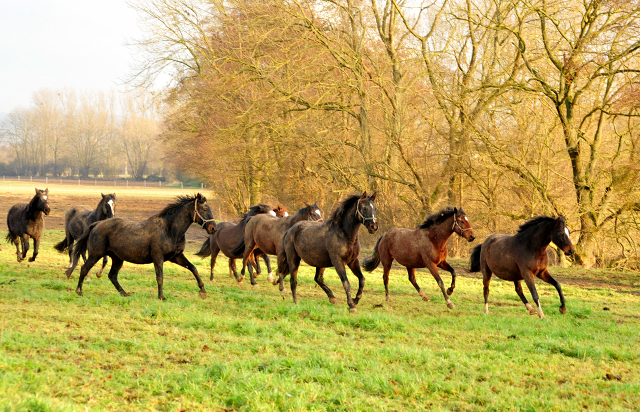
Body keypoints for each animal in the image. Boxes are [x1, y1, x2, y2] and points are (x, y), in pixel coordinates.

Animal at [67, 193, 216, 300]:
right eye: (204, 209)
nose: (213, 228)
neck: (169, 229)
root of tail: (97, 224)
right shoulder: (158, 257)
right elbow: (160, 277)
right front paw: (161, 297)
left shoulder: (176, 257)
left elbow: (193, 268)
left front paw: (203, 291)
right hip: (96, 254)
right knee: (85, 268)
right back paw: (79, 291)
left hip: (117, 258)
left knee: (112, 275)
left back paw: (124, 293)